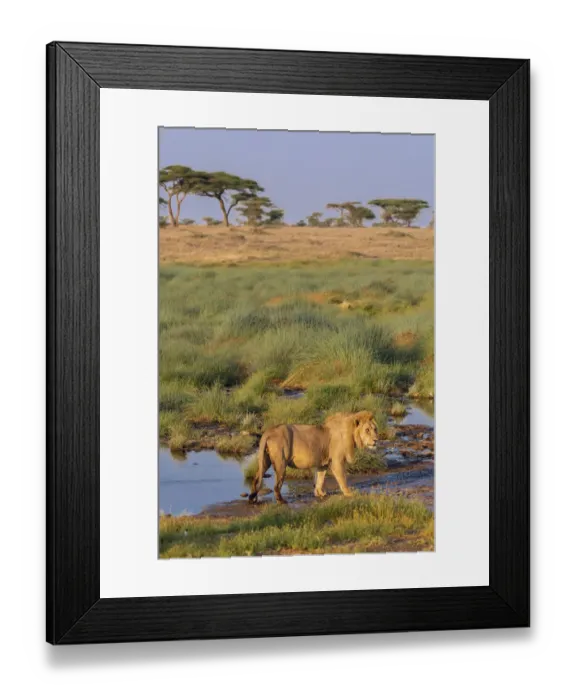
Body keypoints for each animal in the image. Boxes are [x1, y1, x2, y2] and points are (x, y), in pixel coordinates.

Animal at [248, 411, 378, 504]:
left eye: (375, 429)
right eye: (367, 430)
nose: (376, 440)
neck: (350, 432)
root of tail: (268, 432)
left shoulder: (323, 463)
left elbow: (320, 478)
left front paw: (320, 493)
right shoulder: (337, 461)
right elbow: (342, 478)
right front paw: (349, 493)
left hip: (265, 460)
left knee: (256, 478)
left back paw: (252, 498)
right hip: (281, 463)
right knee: (276, 486)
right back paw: (281, 501)